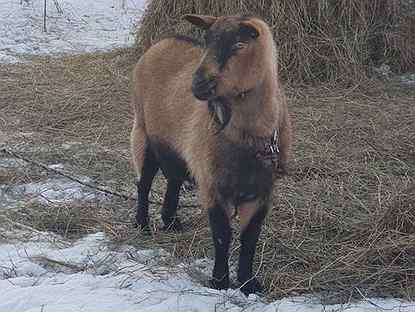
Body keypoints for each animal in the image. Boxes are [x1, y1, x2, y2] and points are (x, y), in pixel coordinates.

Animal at [132, 14, 294, 294]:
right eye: (206, 40)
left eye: (239, 44)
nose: (198, 83)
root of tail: (163, 41)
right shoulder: (213, 185)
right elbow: (221, 234)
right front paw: (219, 281)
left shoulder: (263, 191)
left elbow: (250, 238)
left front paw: (248, 283)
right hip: (144, 131)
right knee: (144, 183)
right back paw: (142, 225)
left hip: (176, 148)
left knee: (174, 180)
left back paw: (170, 221)